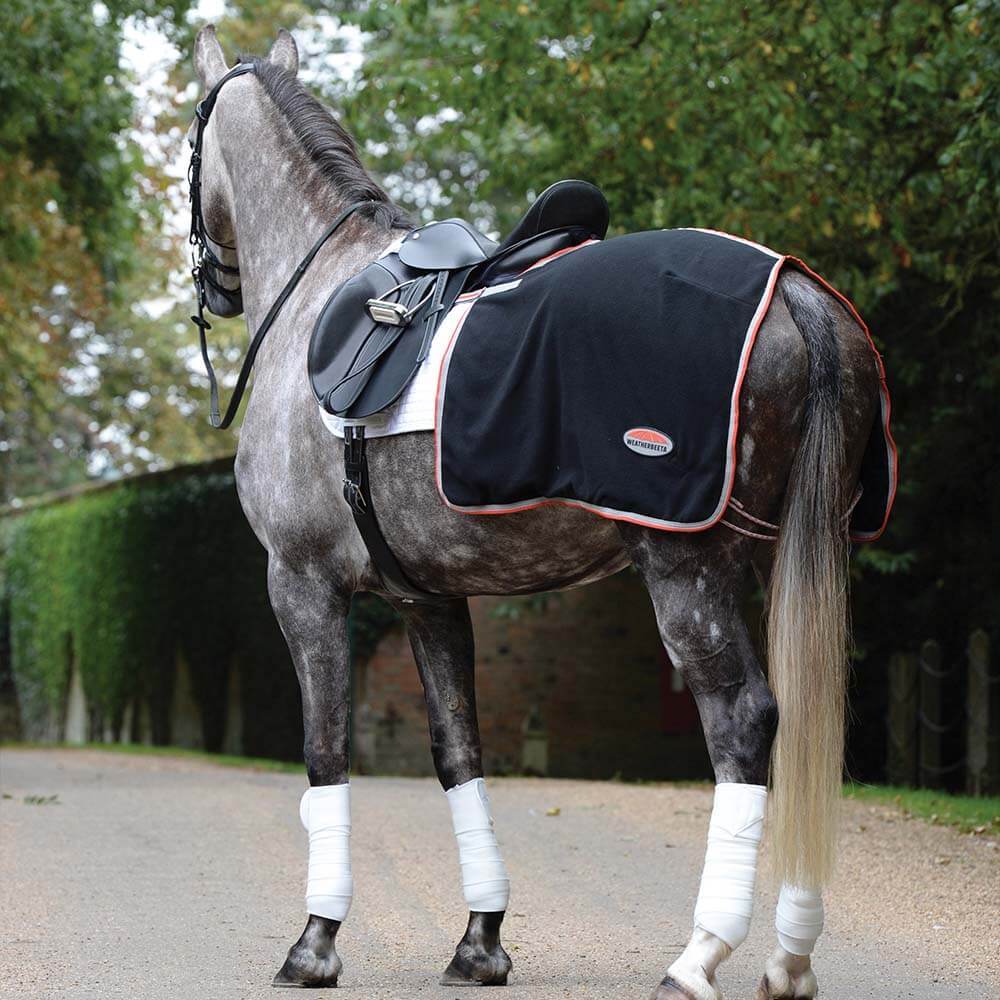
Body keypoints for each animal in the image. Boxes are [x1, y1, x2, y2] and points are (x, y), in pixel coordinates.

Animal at [188, 26, 891, 1000]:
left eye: (188, 143)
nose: (211, 288)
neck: (321, 291)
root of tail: (794, 288)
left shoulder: (302, 585)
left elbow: (325, 751)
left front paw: (315, 942)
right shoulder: (425, 598)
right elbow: (458, 753)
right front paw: (480, 941)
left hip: (688, 567)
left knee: (746, 719)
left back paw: (699, 956)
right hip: (794, 555)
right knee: (811, 724)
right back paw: (788, 960)